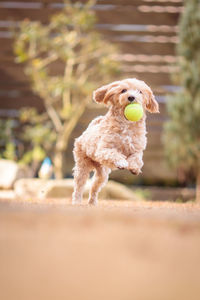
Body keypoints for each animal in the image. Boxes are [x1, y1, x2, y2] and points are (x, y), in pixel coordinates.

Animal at [72, 77, 159, 205]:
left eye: (140, 91)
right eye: (123, 90)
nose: (131, 97)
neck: (126, 124)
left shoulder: (137, 149)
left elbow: (137, 159)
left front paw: (134, 168)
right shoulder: (103, 149)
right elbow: (113, 153)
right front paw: (122, 162)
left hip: (102, 174)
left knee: (94, 188)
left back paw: (92, 202)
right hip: (82, 165)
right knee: (79, 186)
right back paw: (77, 201)